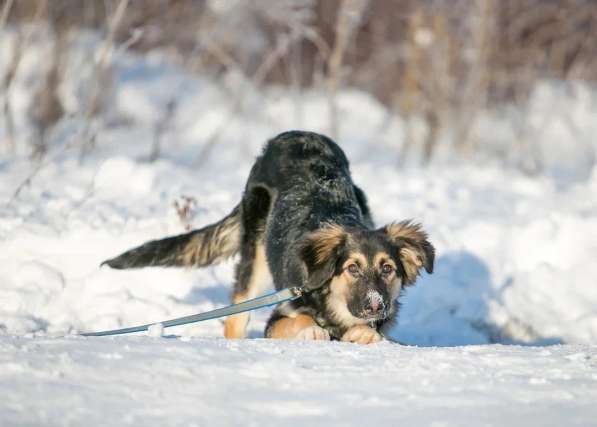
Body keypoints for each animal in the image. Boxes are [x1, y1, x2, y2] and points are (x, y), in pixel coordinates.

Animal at [101, 130, 434, 344]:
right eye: (352, 268)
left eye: (387, 269)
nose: (376, 306)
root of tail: (296, 134)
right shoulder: (280, 314)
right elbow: (299, 321)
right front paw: (311, 330)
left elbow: (370, 333)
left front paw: (362, 333)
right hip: (255, 257)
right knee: (235, 318)